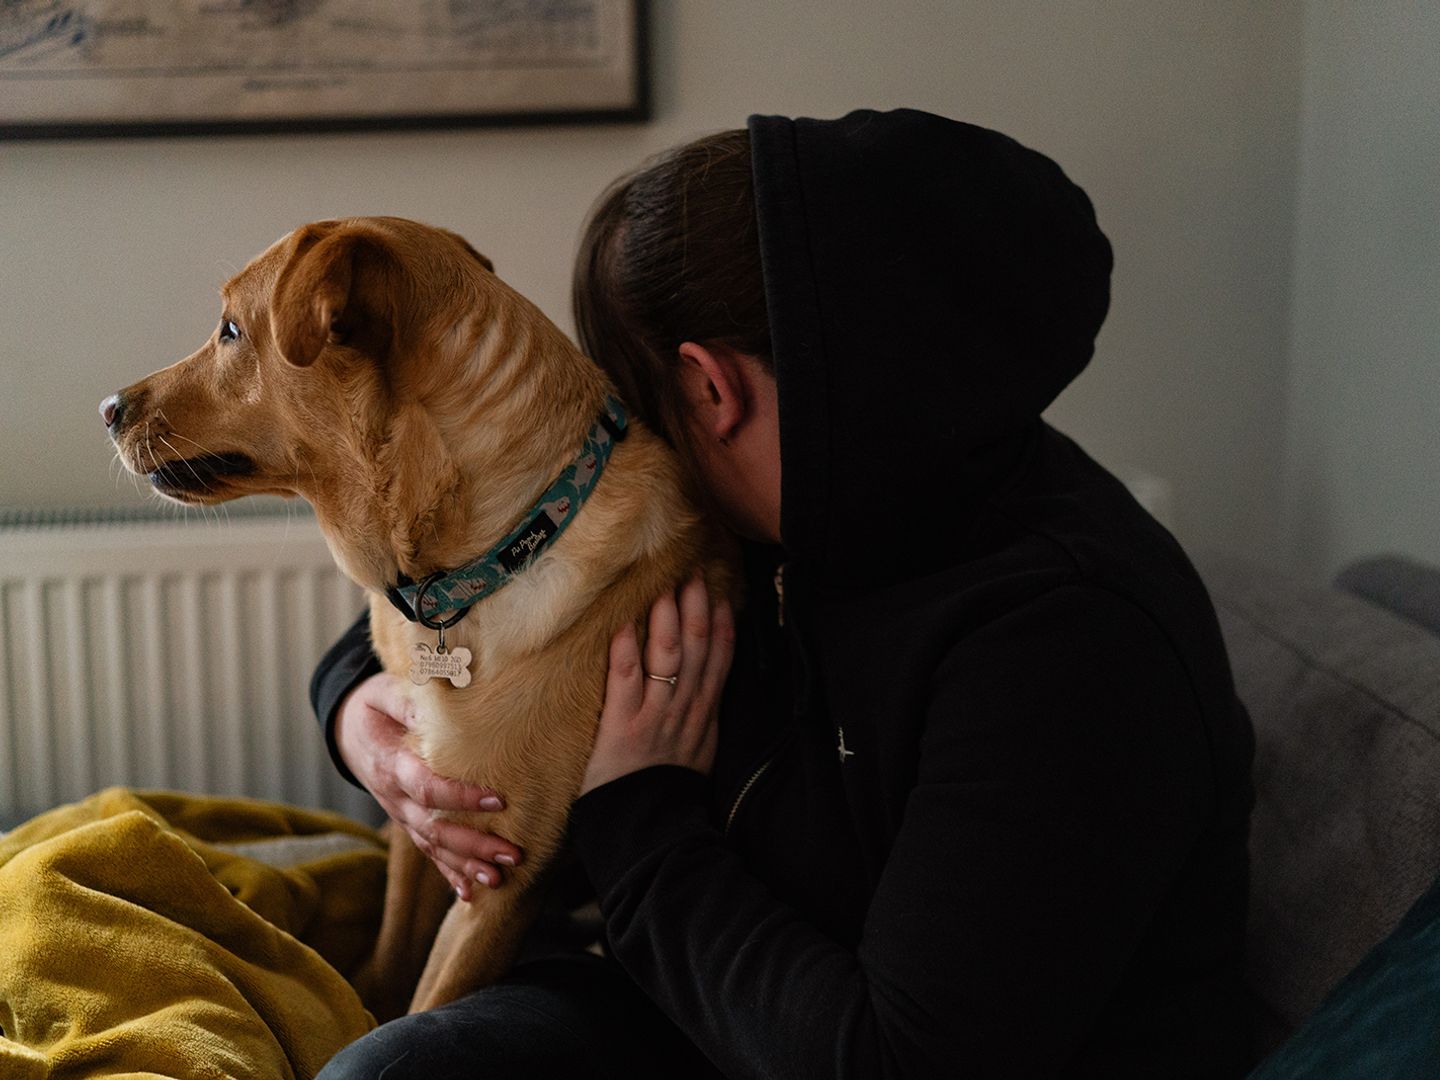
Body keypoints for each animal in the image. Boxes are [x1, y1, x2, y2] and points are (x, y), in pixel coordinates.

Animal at [104, 217, 731, 1025]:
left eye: (232, 330)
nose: (107, 408)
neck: (485, 561)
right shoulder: (415, 816)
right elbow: (393, 960)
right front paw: (362, 1005)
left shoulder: (497, 881)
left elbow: (429, 997)